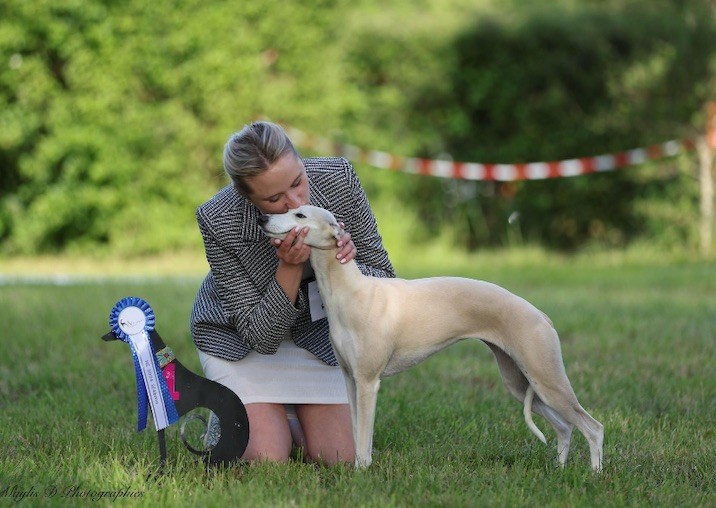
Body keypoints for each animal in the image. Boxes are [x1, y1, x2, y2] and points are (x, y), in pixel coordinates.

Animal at [258, 204, 604, 470]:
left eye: (300, 214)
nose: (262, 218)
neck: (350, 290)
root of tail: (541, 315)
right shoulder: (350, 379)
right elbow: (356, 434)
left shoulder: (368, 382)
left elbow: (364, 437)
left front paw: (361, 473)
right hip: (521, 382)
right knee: (564, 427)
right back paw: (559, 470)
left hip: (547, 378)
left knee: (593, 427)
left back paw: (594, 474)